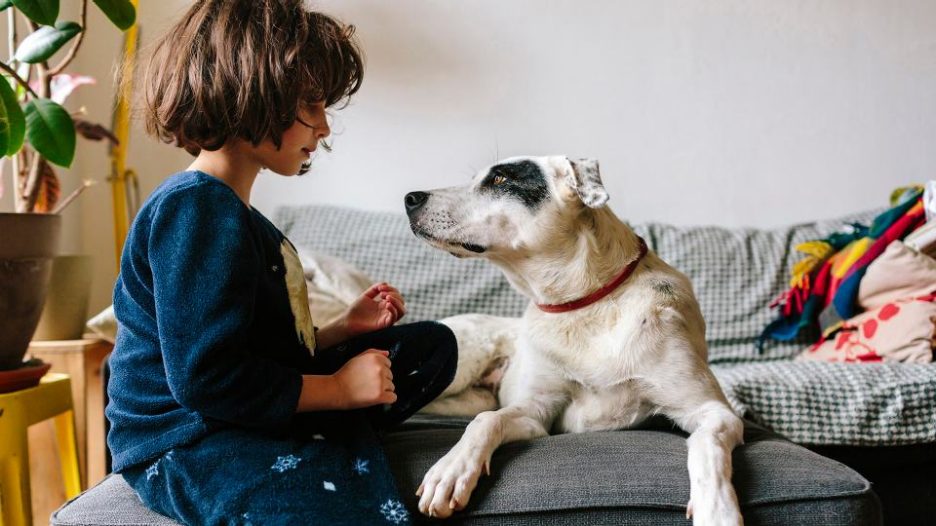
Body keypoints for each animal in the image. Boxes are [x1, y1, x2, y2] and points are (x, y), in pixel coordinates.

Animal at [402, 157, 744, 526]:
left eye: (501, 178)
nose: (410, 198)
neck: (583, 305)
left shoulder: (714, 412)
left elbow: (707, 450)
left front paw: (718, 510)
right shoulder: (536, 410)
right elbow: (488, 420)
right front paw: (451, 470)